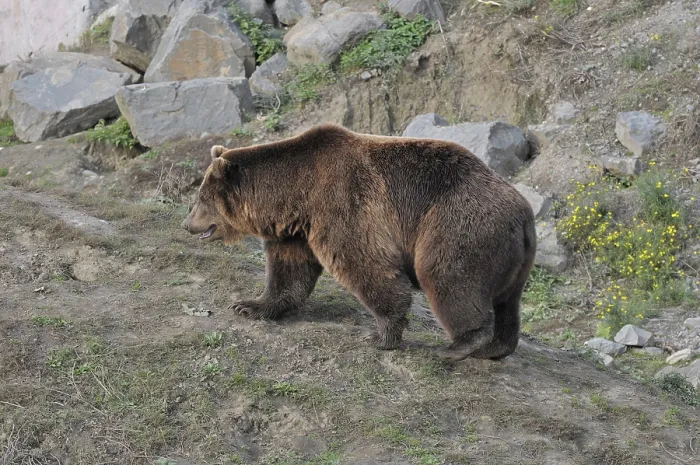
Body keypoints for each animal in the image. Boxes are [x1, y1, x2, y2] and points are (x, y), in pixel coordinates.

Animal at [182, 123, 537, 361]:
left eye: (201, 197)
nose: (187, 224)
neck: (295, 191)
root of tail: (524, 214)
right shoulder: (296, 230)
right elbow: (288, 272)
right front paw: (249, 305)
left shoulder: (343, 202)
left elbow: (365, 263)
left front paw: (381, 335)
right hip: (513, 258)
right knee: (508, 302)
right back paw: (496, 347)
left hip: (457, 224)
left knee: (445, 275)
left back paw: (458, 346)